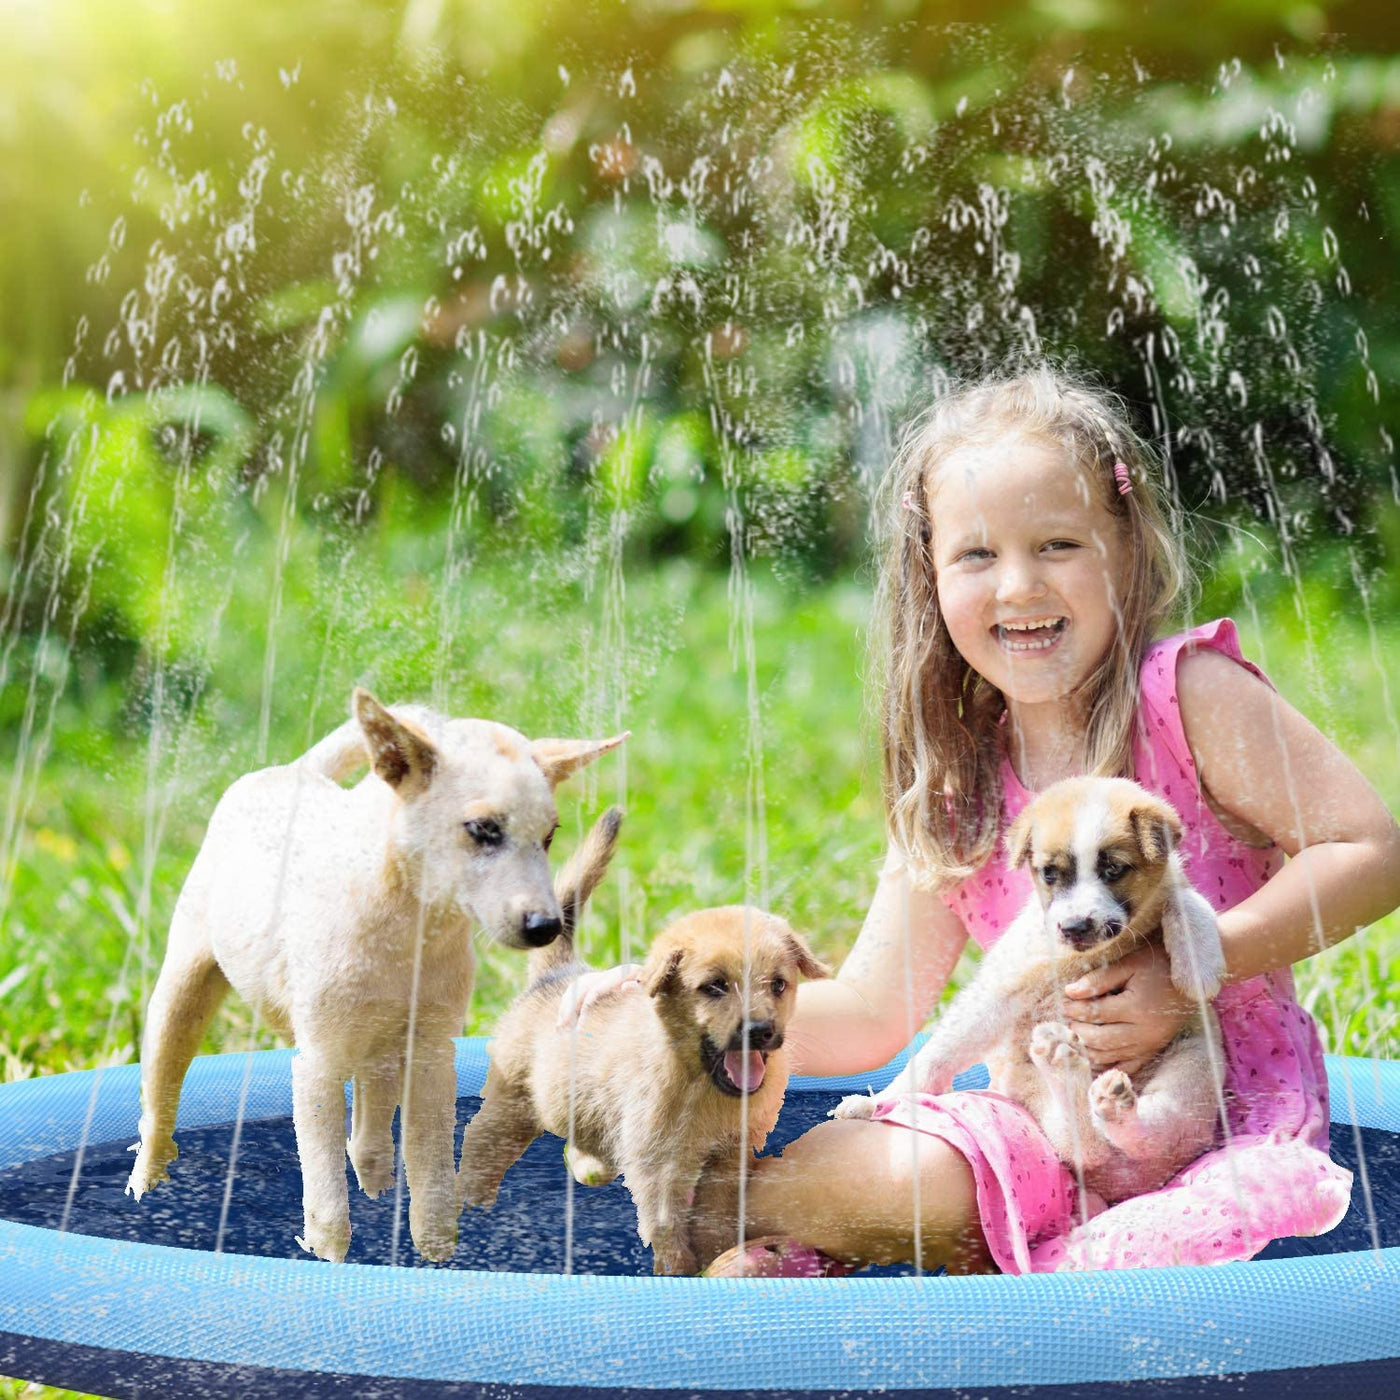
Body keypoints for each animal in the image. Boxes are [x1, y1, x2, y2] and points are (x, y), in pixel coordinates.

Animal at [123, 683, 627, 1265]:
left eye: (549, 837)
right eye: (483, 830)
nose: (547, 927)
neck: (410, 926)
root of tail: (290, 770)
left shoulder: (432, 1057)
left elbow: (432, 1182)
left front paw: (436, 1257)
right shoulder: (316, 1067)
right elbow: (326, 1202)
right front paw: (332, 1261)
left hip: (382, 1048)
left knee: (368, 1133)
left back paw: (377, 1183)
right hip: (184, 987)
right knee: (160, 1100)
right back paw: (143, 1186)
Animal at [459, 862, 828, 1282]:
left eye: (778, 984)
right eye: (714, 986)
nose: (761, 1031)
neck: (701, 1087)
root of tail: (559, 974)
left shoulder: (729, 1156)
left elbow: (715, 1217)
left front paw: (716, 1256)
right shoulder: (658, 1165)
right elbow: (666, 1226)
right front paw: (679, 1271)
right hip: (509, 1109)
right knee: (478, 1146)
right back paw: (465, 1210)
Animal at [834, 778, 1220, 1204]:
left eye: (1113, 869)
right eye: (1049, 873)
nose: (1074, 927)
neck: (1087, 957)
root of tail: (1125, 1182)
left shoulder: (1169, 886)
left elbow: (1186, 898)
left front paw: (1198, 964)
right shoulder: (1000, 990)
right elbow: (938, 1054)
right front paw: (875, 1102)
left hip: (1194, 1063)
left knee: (1141, 1131)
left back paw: (1108, 1101)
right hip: (1037, 1099)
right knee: (1088, 1145)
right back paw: (1067, 1066)